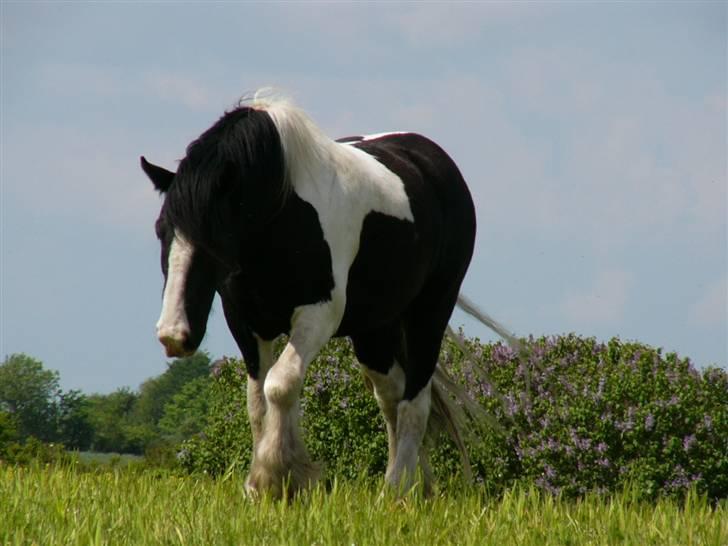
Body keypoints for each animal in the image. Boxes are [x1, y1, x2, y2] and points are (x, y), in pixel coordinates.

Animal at [141, 93, 512, 498]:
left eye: (213, 237)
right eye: (162, 230)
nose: (174, 335)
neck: (283, 212)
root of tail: (434, 162)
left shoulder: (318, 315)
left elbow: (280, 385)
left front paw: (277, 477)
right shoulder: (247, 323)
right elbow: (257, 402)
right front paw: (263, 486)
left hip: (430, 312)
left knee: (415, 401)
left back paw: (396, 491)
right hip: (374, 331)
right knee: (391, 397)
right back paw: (417, 484)